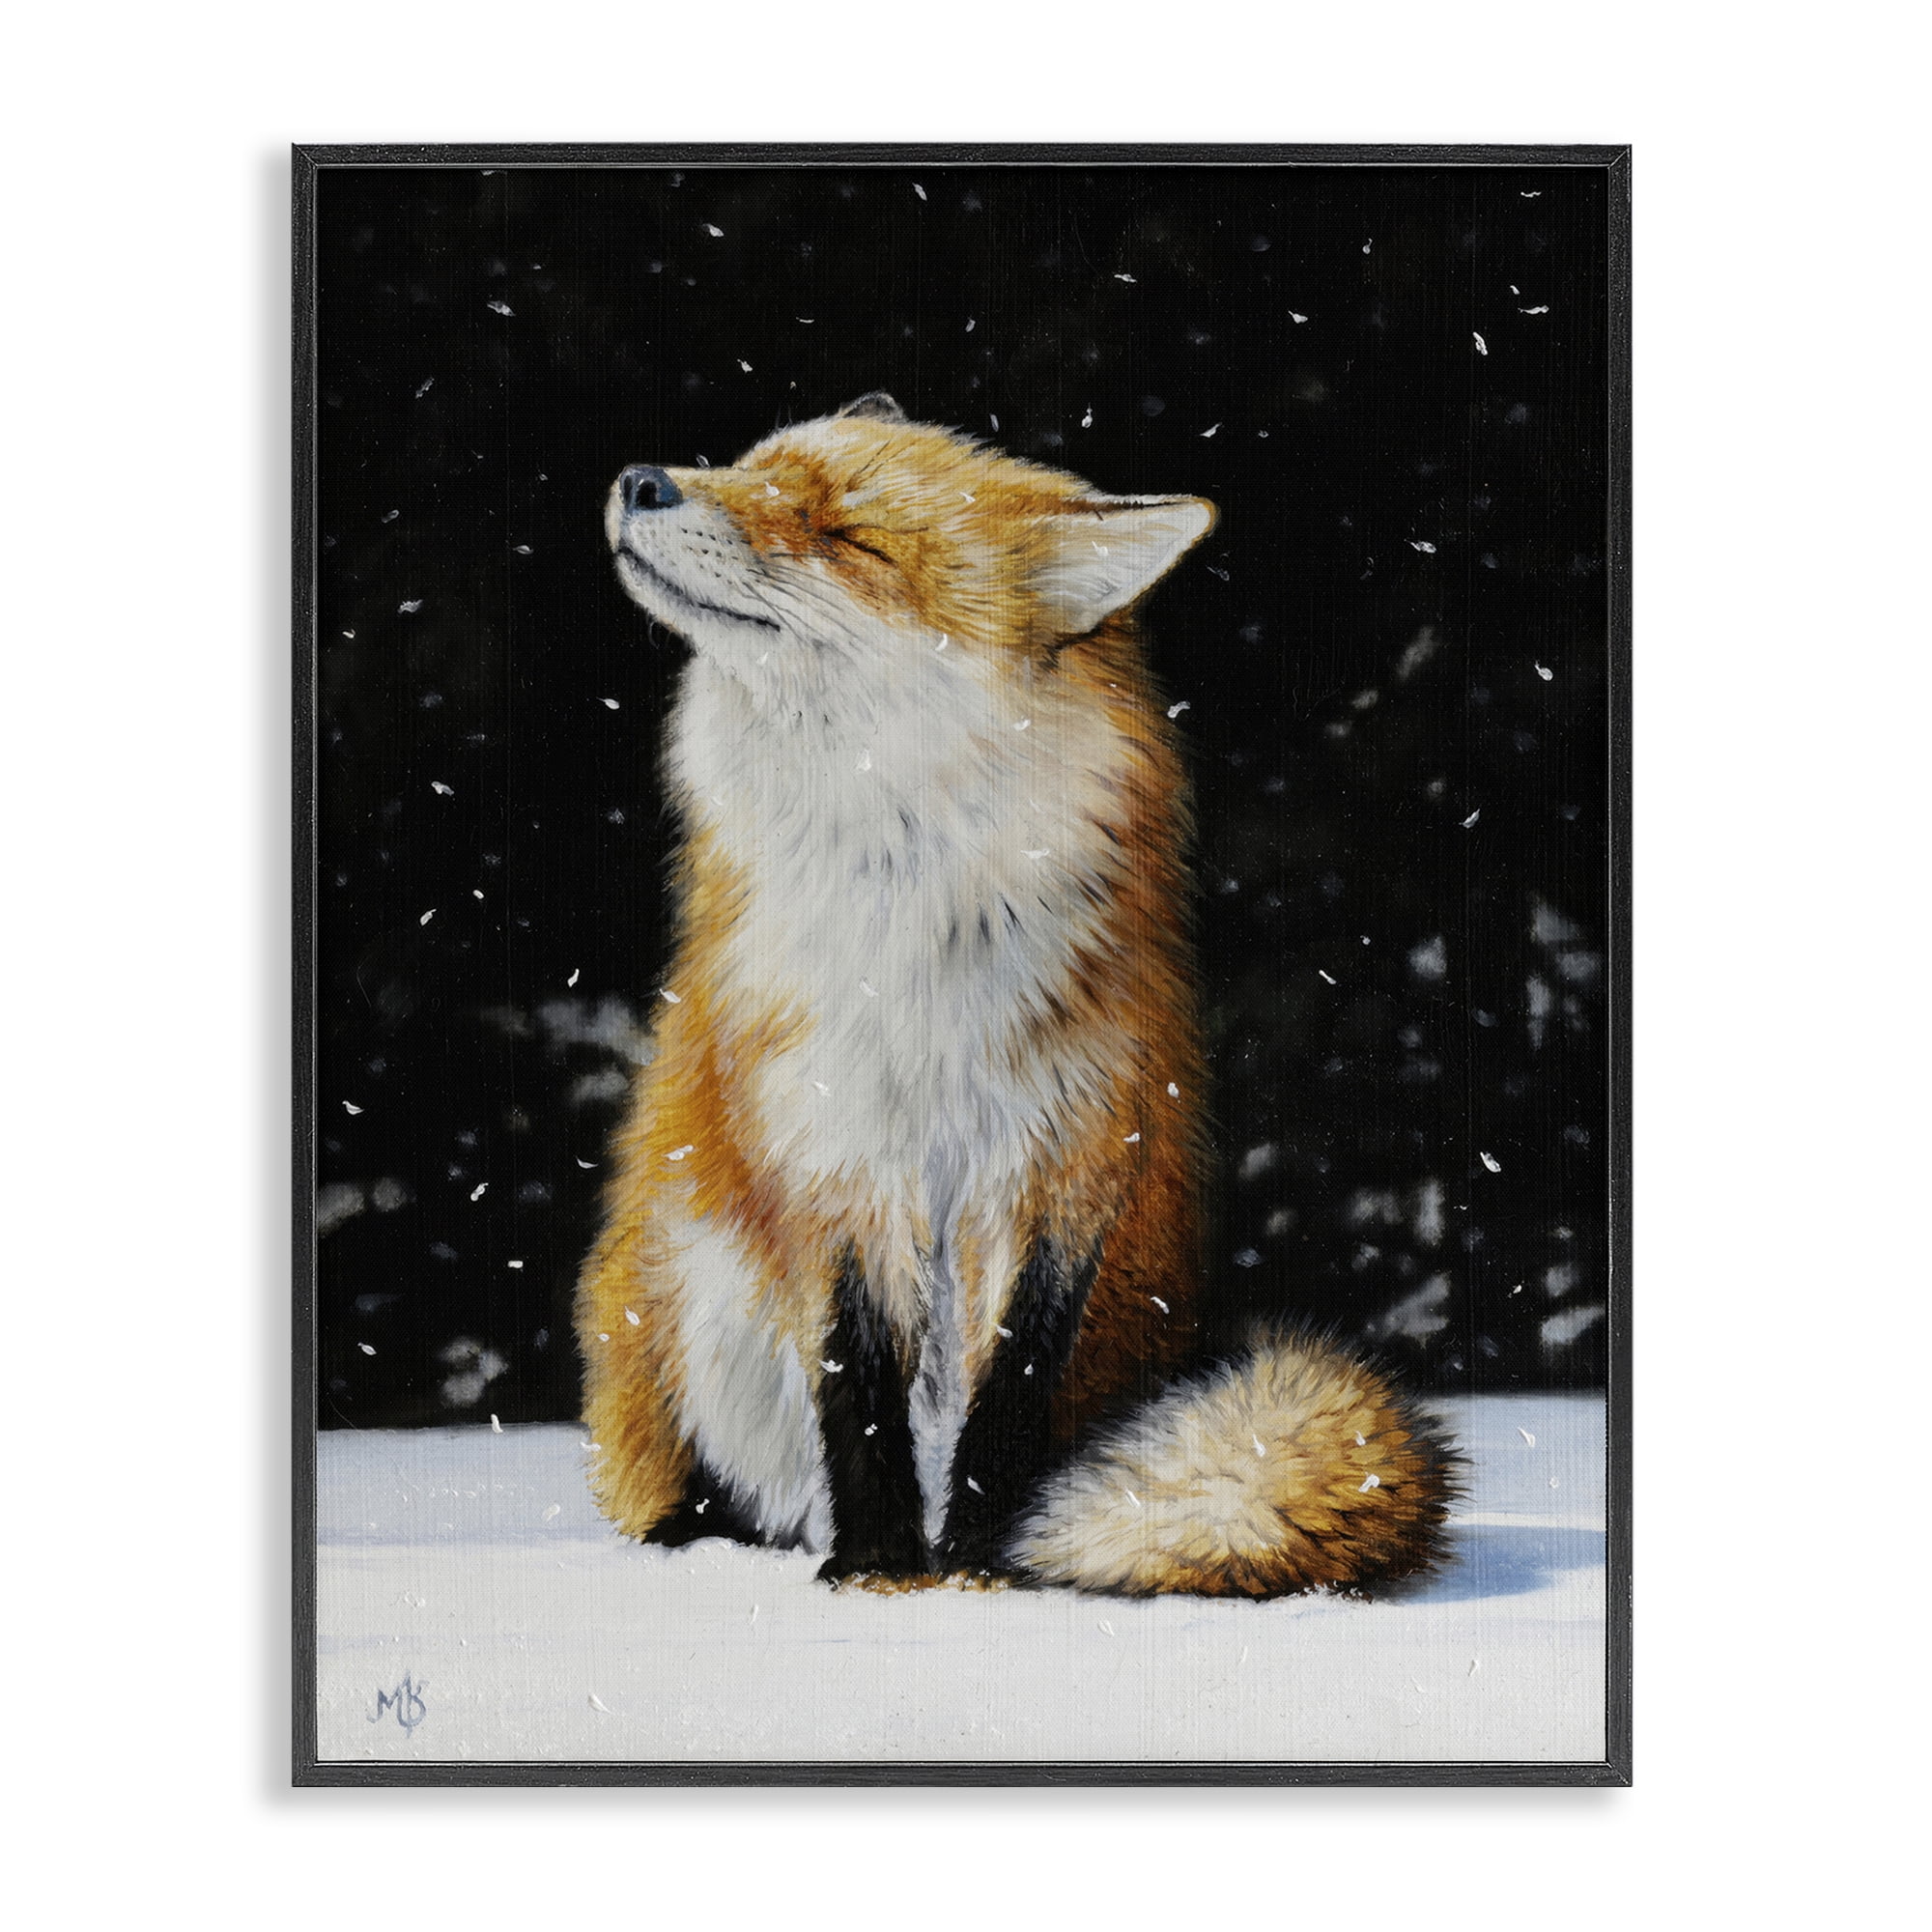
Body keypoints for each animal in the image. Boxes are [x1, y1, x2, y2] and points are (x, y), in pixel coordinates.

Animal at [575, 391, 1456, 1596]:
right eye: (752, 465)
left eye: (852, 538)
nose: (641, 480)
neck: (912, 949)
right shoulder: (831, 1162)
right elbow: (857, 1390)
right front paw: (879, 1568)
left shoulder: (1069, 1158)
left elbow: (1010, 1393)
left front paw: (980, 1562)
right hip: (682, 1300)